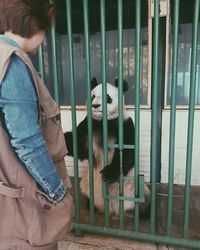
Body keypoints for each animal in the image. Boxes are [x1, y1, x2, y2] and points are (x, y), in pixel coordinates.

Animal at [65, 78, 151, 217]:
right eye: (93, 96)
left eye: (107, 97)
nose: (95, 106)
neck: (103, 123)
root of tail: (111, 210)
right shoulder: (88, 125)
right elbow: (77, 146)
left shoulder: (125, 125)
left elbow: (128, 152)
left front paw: (109, 173)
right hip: (88, 186)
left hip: (133, 188)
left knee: (144, 201)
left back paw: (142, 212)